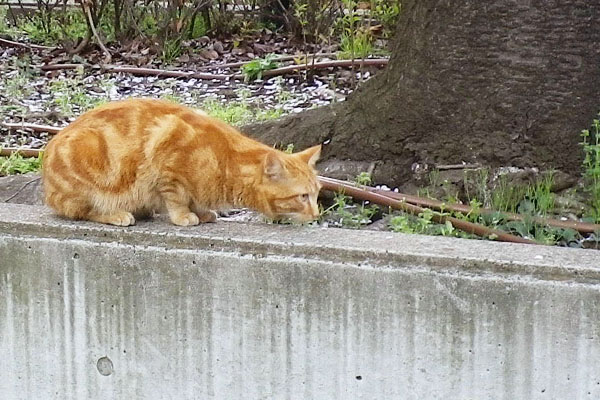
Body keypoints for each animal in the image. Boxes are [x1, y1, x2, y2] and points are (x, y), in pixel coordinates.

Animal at [42, 99, 322, 227]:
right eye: (303, 196)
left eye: (317, 194)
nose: (317, 214)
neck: (226, 161)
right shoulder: (168, 162)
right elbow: (176, 197)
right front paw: (184, 216)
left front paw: (202, 211)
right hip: (87, 166)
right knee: (82, 211)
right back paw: (117, 214)